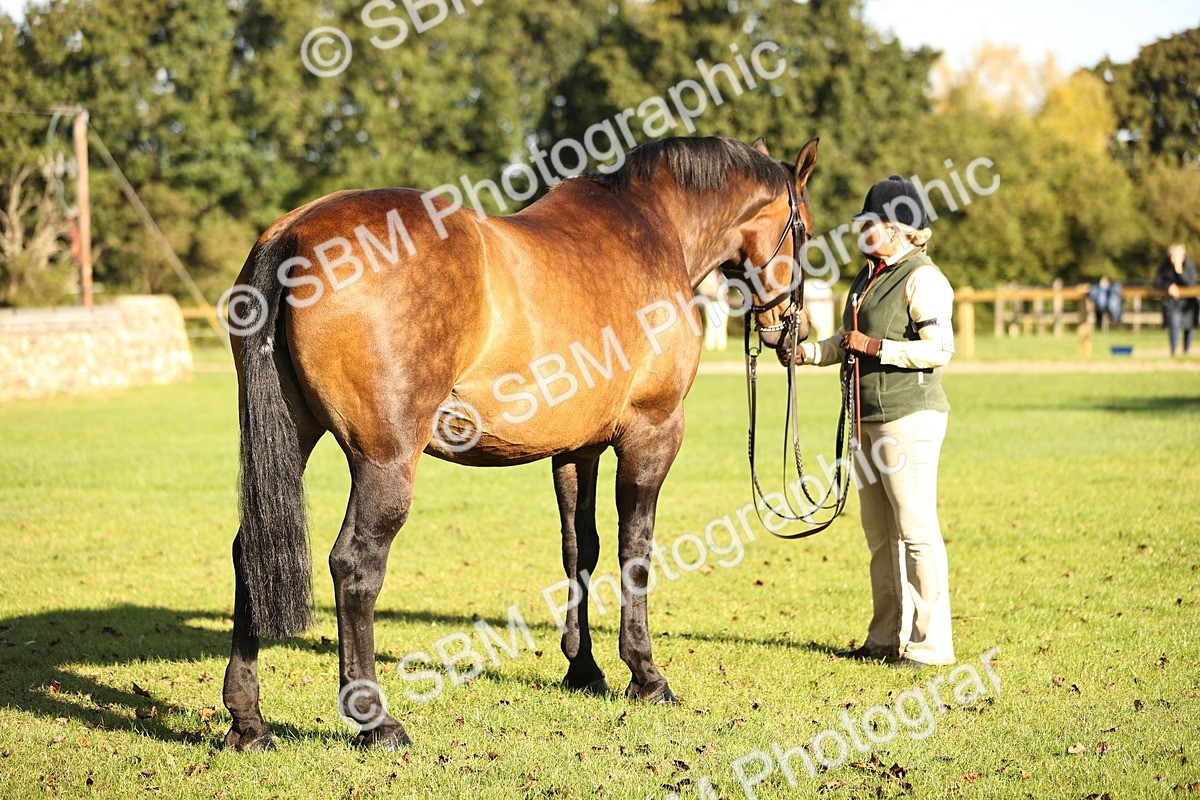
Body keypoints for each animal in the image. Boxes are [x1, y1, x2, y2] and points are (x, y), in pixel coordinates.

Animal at [222, 134, 819, 751]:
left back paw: (249, 722)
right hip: (384, 459)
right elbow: (635, 550)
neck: (654, 229)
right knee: (355, 565)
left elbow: (581, 549)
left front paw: (585, 669)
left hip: (294, 436)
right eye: (806, 230)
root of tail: (295, 233)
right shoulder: (652, 432)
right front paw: (646, 675)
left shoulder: (577, 450)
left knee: (250, 553)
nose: (794, 331)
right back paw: (375, 720)